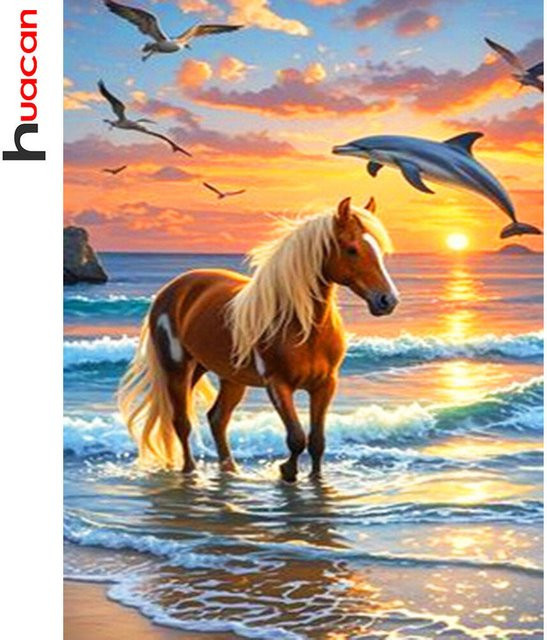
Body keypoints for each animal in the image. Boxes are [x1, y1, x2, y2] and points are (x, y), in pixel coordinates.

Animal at [118, 197, 399, 482]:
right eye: (352, 249)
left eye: (378, 250)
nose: (387, 300)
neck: (302, 327)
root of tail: (173, 288)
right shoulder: (277, 384)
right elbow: (296, 437)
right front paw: (287, 471)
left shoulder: (325, 385)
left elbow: (317, 441)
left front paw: (315, 479)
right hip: (177, 369)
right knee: (181, 422)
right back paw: (191, 471)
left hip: (226, 376)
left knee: (217, 419)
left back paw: (230, 470)